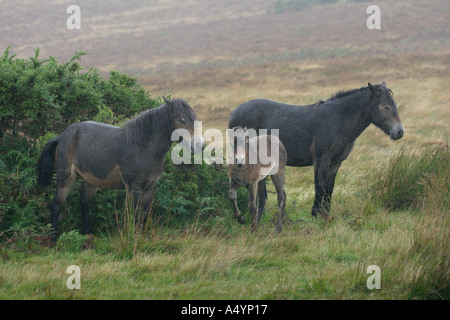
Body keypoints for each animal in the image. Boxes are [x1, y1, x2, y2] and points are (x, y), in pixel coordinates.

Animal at [38, 97, 204, 235]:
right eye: (181, 120)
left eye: (195, 118)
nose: (199, 145)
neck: (141, 146)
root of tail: (63, 136)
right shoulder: (134, 187)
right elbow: (135, 214)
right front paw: (135, 237)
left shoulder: (151, 187)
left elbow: (144, 214)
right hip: (66, 178)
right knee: (56, 204)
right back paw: (53, 237)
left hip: (91, 182)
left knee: (84, 202)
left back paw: (88, 234)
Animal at [229, 81, 404, 219]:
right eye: (386, 107)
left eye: (395, 105)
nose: (399, 132)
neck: (338, 120)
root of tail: (233, 113)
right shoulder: (321, 160)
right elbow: (319, 186)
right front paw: (315, 214)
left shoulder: (335, 163)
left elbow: (329, 188)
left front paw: (326, 213)